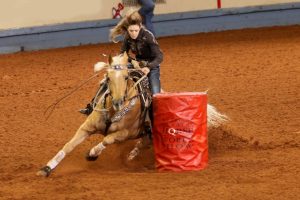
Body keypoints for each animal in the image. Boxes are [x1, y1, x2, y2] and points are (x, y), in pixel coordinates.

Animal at [36, 51, 227, 177]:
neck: (113, 111)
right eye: (108, 77)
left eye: (126, 77)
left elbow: (107, 139)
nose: (118, 101)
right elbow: (68, 146)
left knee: (143, 142)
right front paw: (46, 168)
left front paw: (92, 153)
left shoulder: (126, 133)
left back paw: (131, 156)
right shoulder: (86, 127)